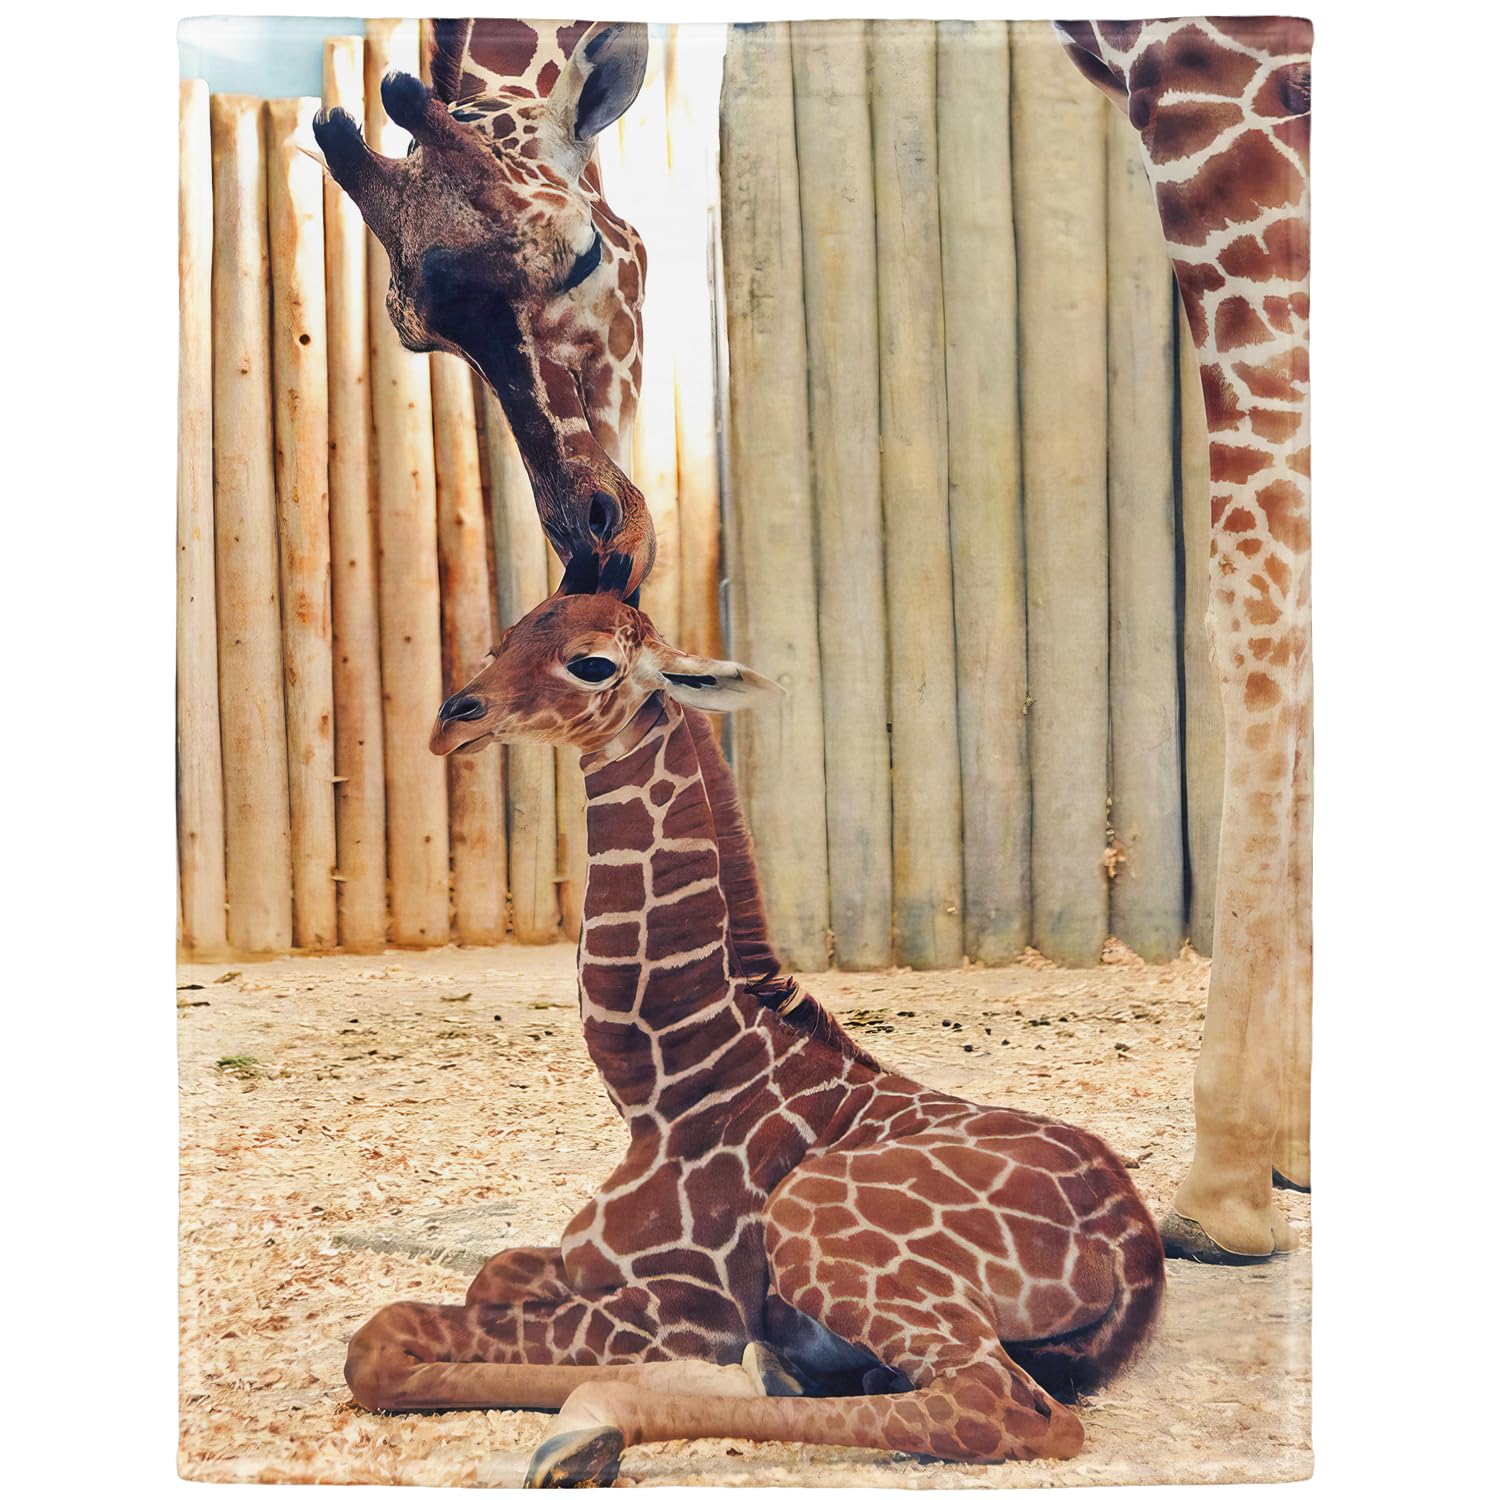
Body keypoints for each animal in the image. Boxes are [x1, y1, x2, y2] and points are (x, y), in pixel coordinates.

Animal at [341, 589, 1165, 1486]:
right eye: (507, 638)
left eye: (592, 662)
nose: (453, 721)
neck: (667, 1085)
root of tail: (1136, 1261)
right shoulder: (584, 1264)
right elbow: (482, 1278)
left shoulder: (680, 1305)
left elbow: (378, 1340)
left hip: (814, 1221)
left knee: (999, 1404)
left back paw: (600, 1425)